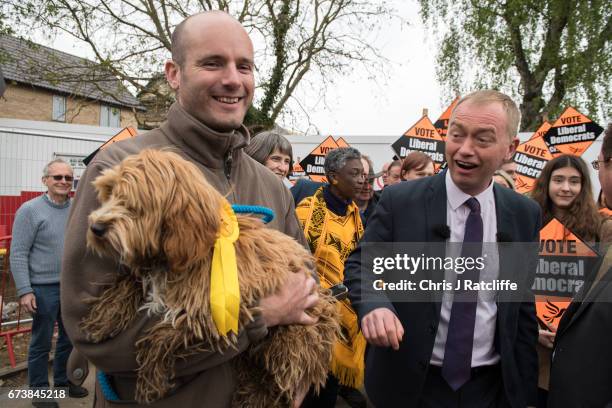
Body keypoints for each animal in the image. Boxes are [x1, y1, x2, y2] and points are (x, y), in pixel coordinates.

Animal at [80, 149, 340, 404]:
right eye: (109, 192)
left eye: (134, 202)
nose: (96, 228)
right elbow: (132, 279)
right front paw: (106, 314)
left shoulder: (221, 304)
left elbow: (165, 333)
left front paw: (151, 377)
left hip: (293, 335)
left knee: (279, 374)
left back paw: (258, 393)